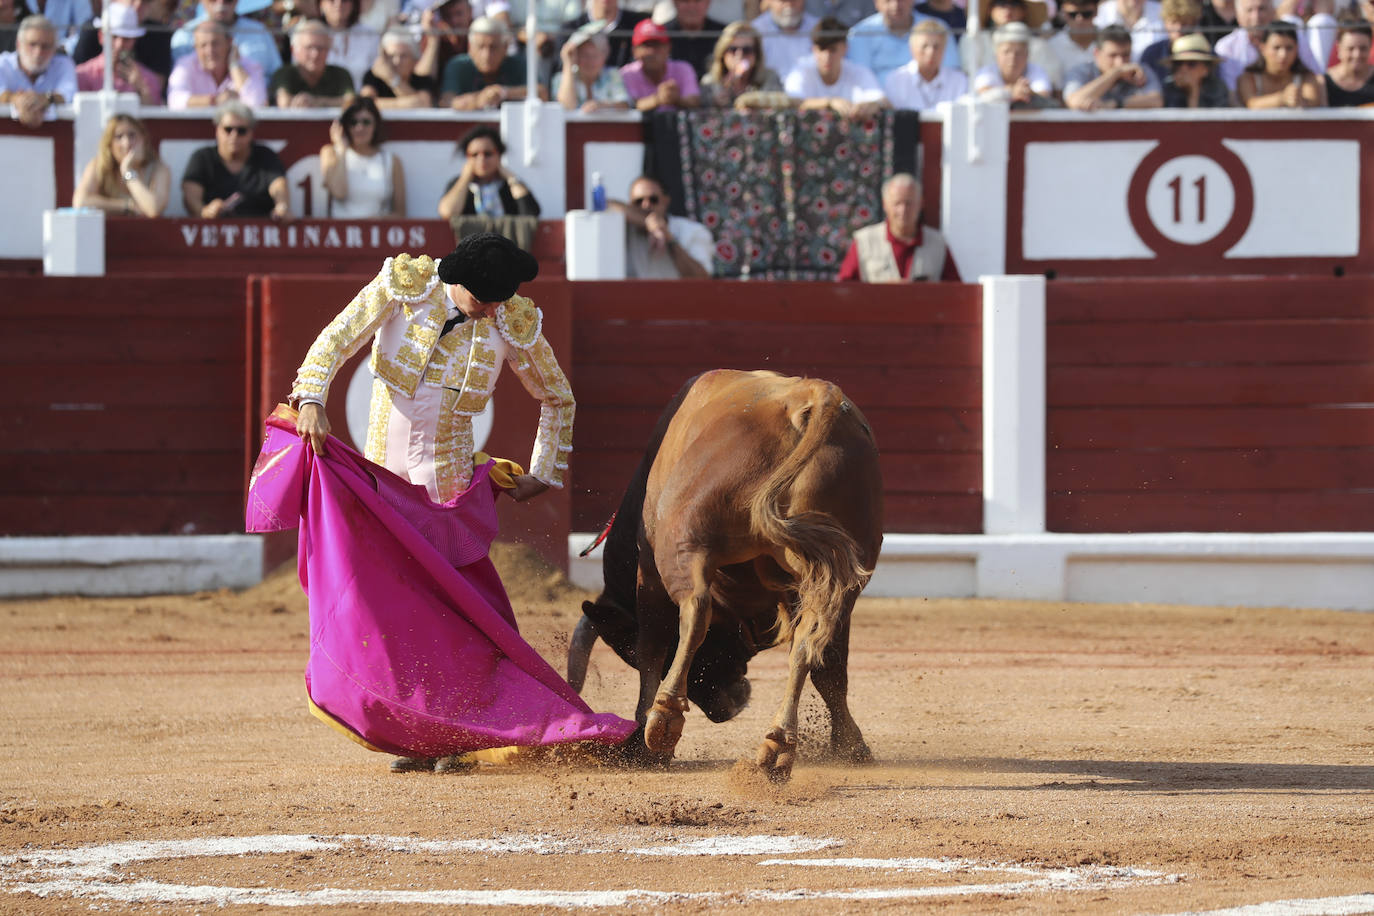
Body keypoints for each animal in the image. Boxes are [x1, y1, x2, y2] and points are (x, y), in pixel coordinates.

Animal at [566, 368, 879, 780]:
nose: (724, 710)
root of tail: (811, 396)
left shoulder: (649, 574)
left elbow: (652, 647)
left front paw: (642, 738)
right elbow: (827, 666)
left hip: (685, 543)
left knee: (696, 610)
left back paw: (665, 720)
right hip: (841, 572)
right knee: (816, 651)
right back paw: (784, 747)